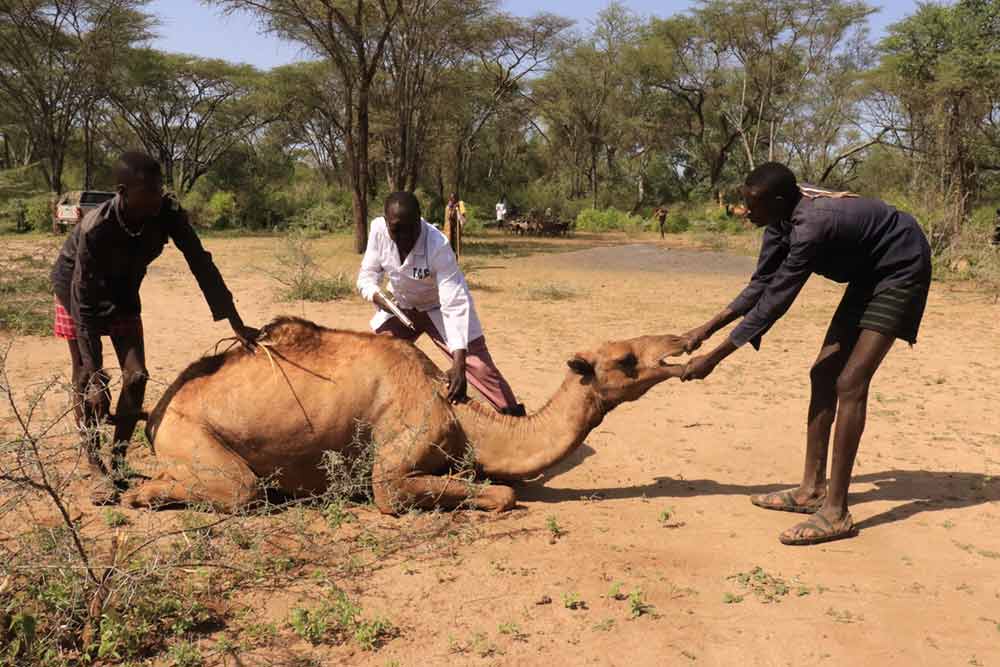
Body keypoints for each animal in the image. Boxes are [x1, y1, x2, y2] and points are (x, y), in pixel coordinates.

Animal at [123, 316, 688, 516]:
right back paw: (140, 495)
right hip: (189, 434)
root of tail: (155, 416)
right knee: (242, 490)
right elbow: (499, 495)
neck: (464, 421)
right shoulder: (395, 465)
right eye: (626, 360)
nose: (683, 345)